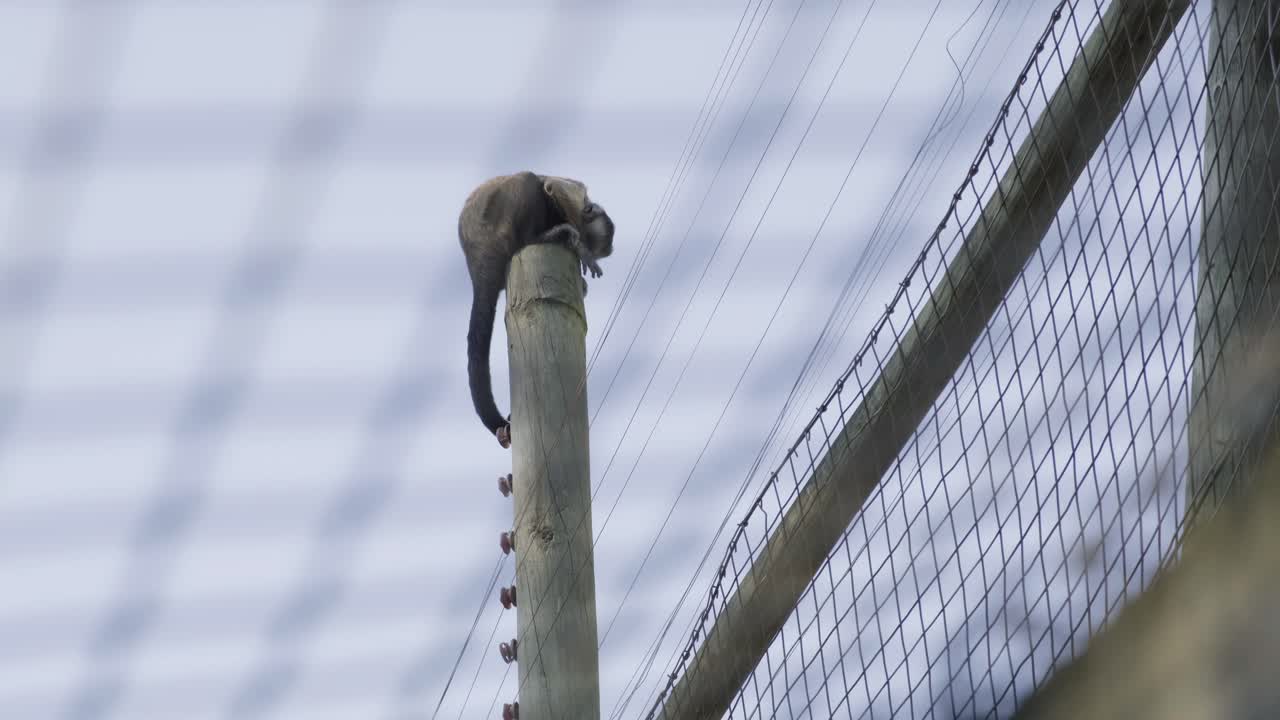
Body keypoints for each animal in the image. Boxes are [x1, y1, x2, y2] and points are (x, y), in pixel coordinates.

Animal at [458, 172, 615, 449]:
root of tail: (478, 261)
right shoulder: (575, 194)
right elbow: (552, 187)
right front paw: (577, 245)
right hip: (498, 226)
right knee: (527, 181)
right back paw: (541, 237)